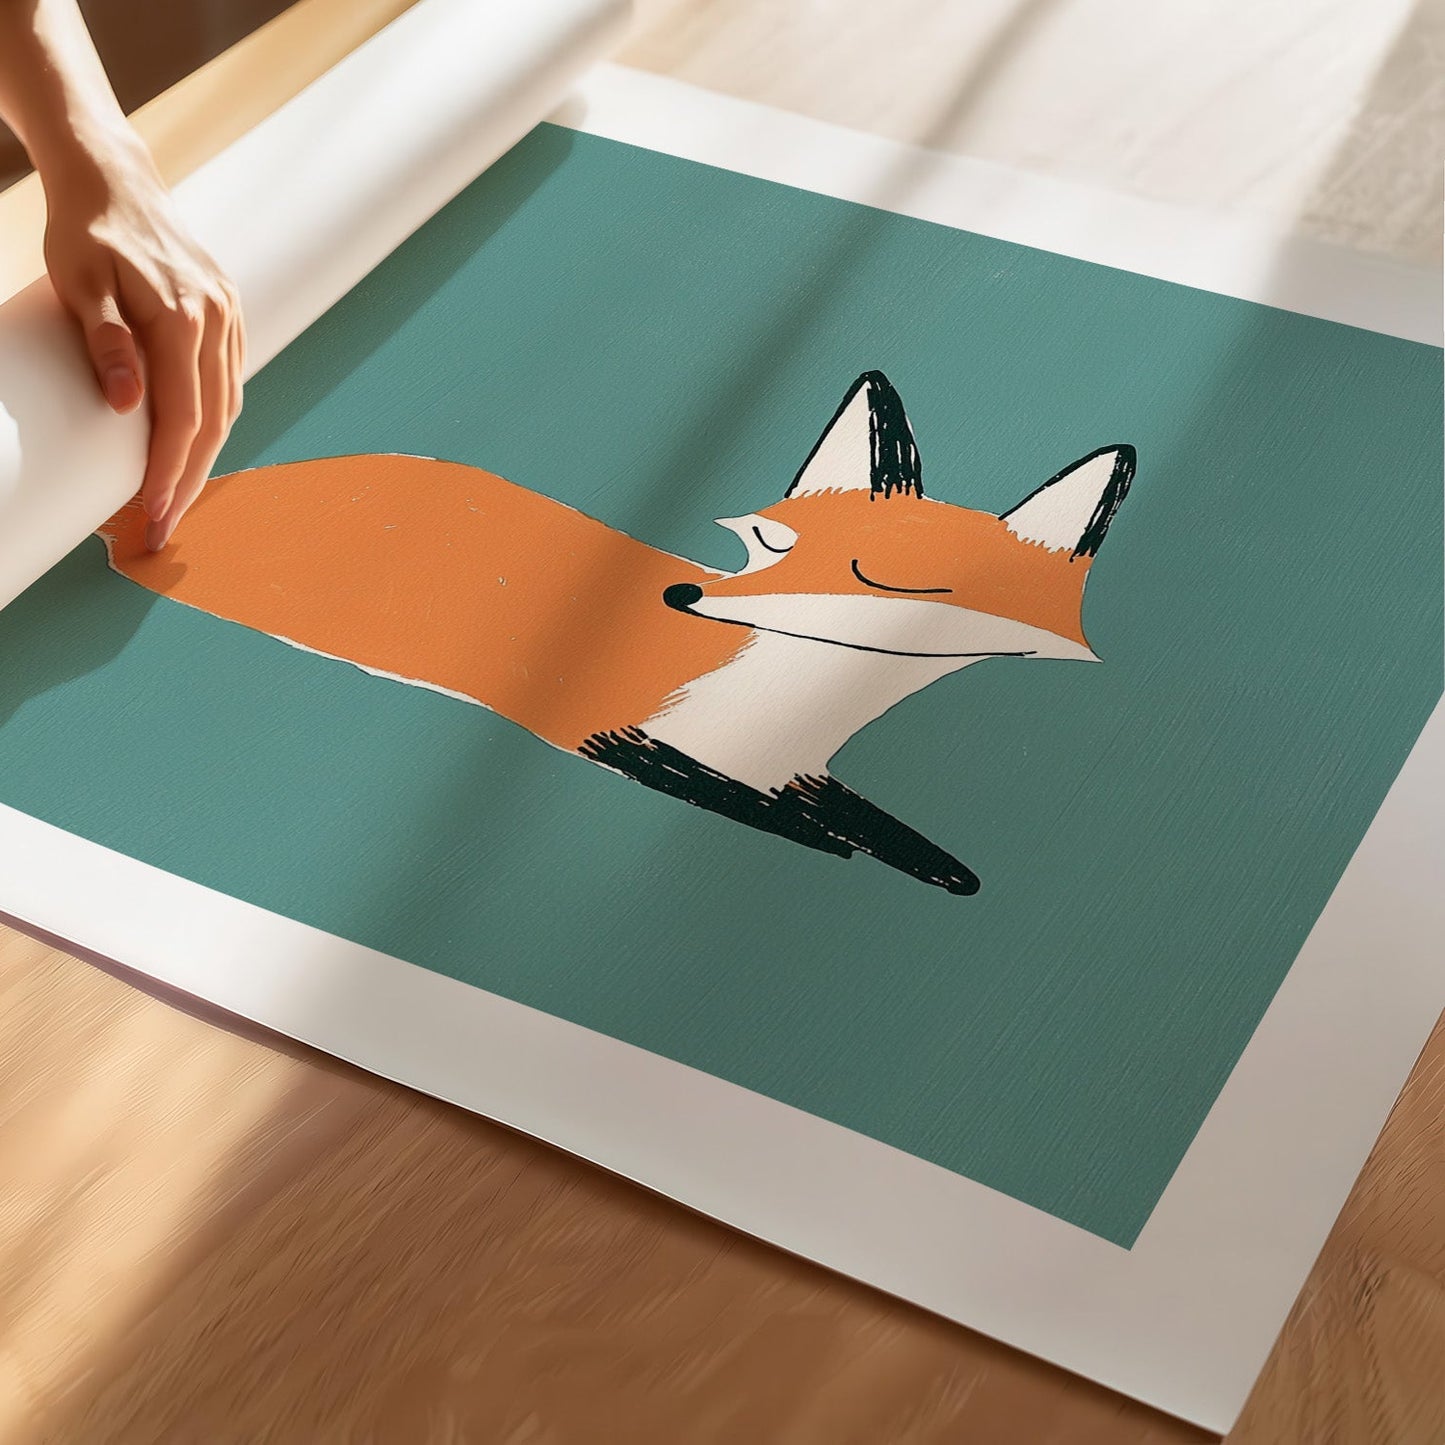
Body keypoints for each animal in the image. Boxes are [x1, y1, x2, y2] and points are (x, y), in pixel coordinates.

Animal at [99, 371, 1135, 895]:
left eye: (878, 580)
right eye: (765, 542)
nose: (685, 594)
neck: (778, 718)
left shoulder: (796, 769)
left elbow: (915, 850)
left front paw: (934, 865)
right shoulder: (607, 732)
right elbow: (792, 824)